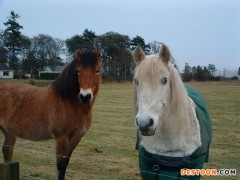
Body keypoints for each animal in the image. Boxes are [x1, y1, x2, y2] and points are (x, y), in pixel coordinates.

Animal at [0, 48, 101, 179]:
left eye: (97, 70)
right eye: (78, 71)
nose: (85, 96)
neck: (68, 102)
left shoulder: (75, 139)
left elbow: (65, 165)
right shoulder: (61, 139)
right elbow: (60, 168)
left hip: (9, 133)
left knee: (7, 152)